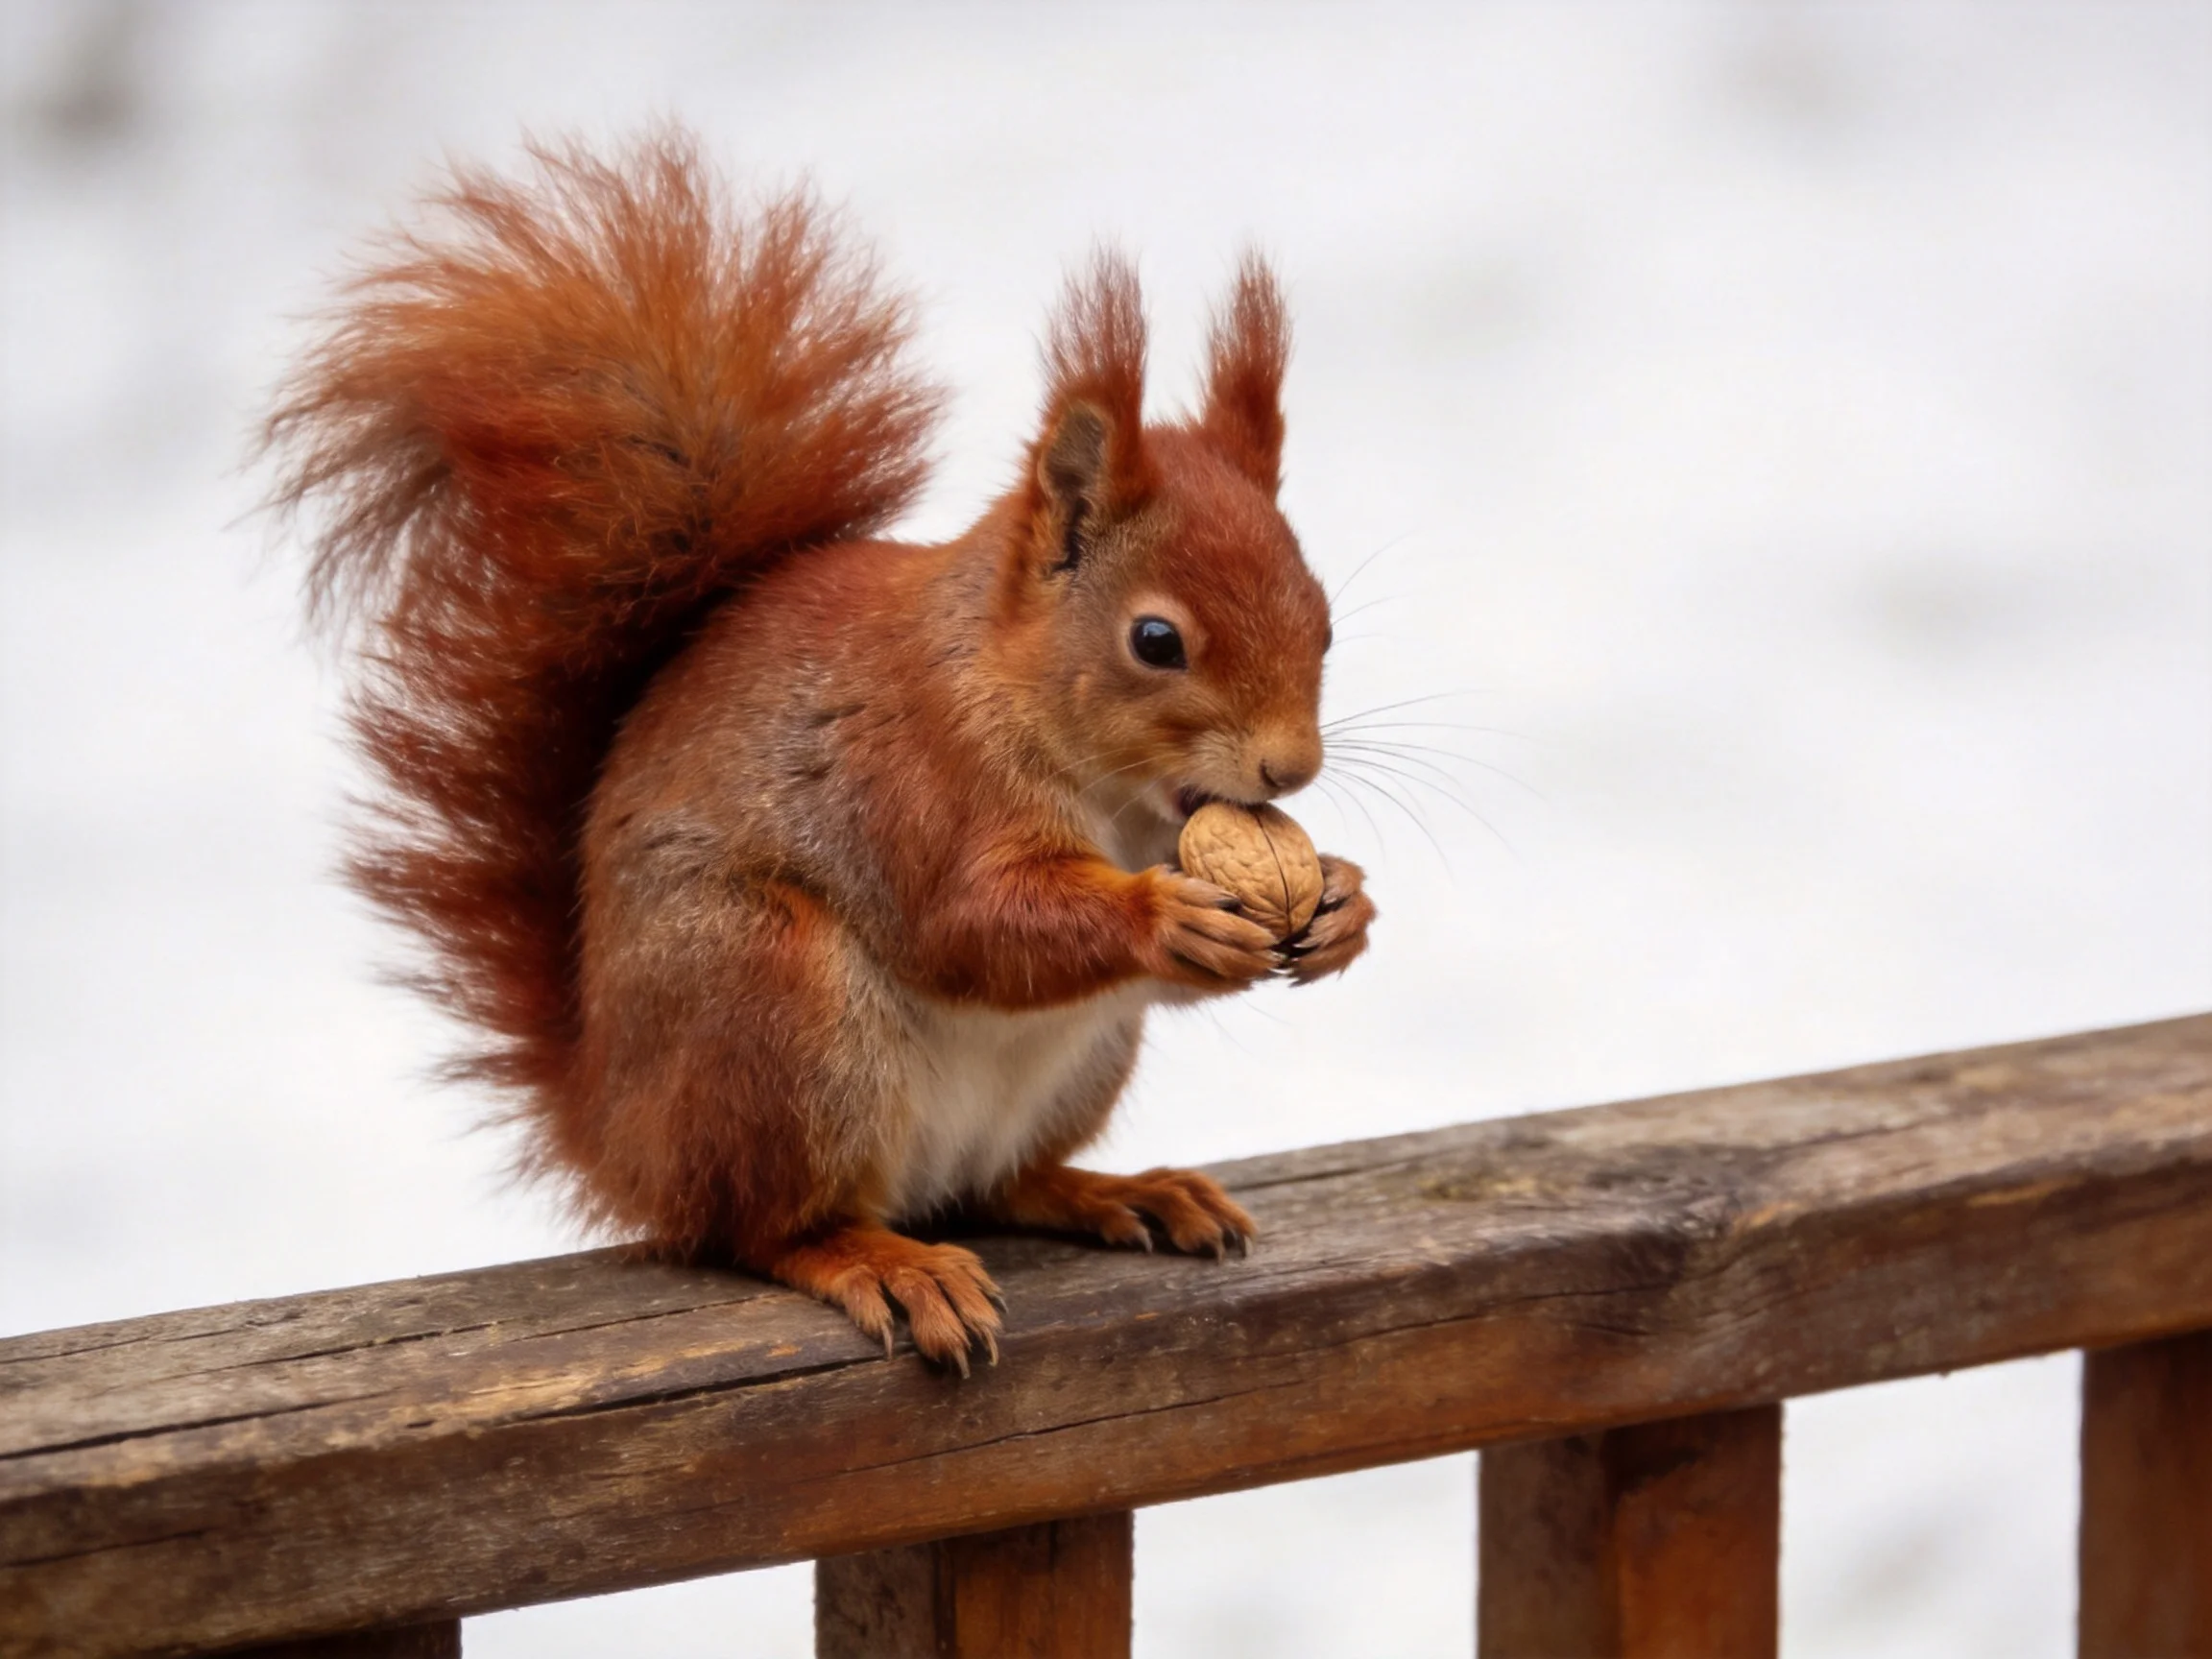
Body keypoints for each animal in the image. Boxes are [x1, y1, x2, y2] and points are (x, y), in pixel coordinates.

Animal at [268, 134, 1376, 1370]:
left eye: (1324, 620)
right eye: (1156, 641)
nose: (1291, 772)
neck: (1114, 795)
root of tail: (614, 1125)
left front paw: (1341, 902)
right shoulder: (911, 779)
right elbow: (969, 924)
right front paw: (1162, 915)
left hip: (1074, 1062)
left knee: (994, 1187)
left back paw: (1114, 1190)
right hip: (775, 1009)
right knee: (761, 1228)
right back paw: (880, 1261)